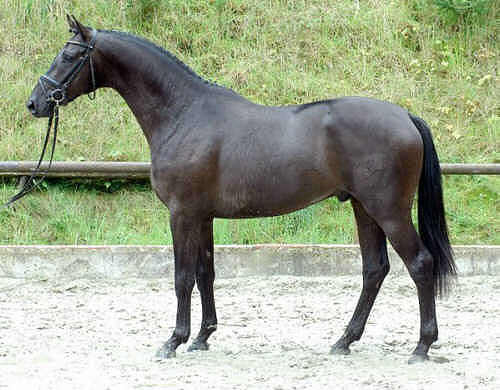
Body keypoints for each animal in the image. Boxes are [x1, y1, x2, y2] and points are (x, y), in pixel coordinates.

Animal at [27, 16, 458, 362]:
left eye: (69, 55)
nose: (35, 102)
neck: (184, 114)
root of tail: (405, 115)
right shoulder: (202, 216)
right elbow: (206, 272)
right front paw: (202, 337)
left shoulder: (181, 213)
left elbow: (182, 276)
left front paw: (173, 341)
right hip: (363, 208)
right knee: (374, 269)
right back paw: (344, 341)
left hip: (388, 210)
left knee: (420, 264)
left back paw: (421, 346)